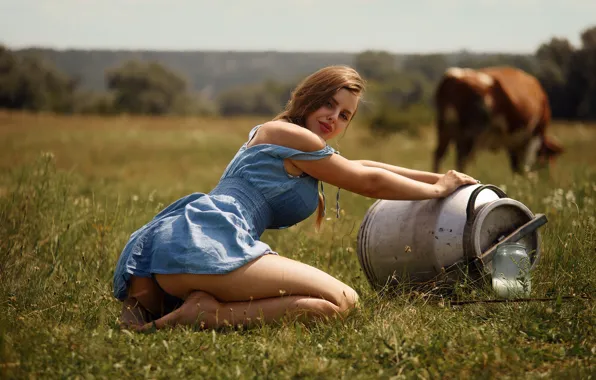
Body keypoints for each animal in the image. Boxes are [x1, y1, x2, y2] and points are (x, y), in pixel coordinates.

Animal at [434, 65, 564, 174]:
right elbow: (525, 167)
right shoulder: (534, 136)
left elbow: (516, 168)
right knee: (462, 161)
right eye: (550, 159)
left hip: (445, 129)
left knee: (439, 155)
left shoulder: (513, 143)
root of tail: (454, 76)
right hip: (471, 134)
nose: (550, 176)